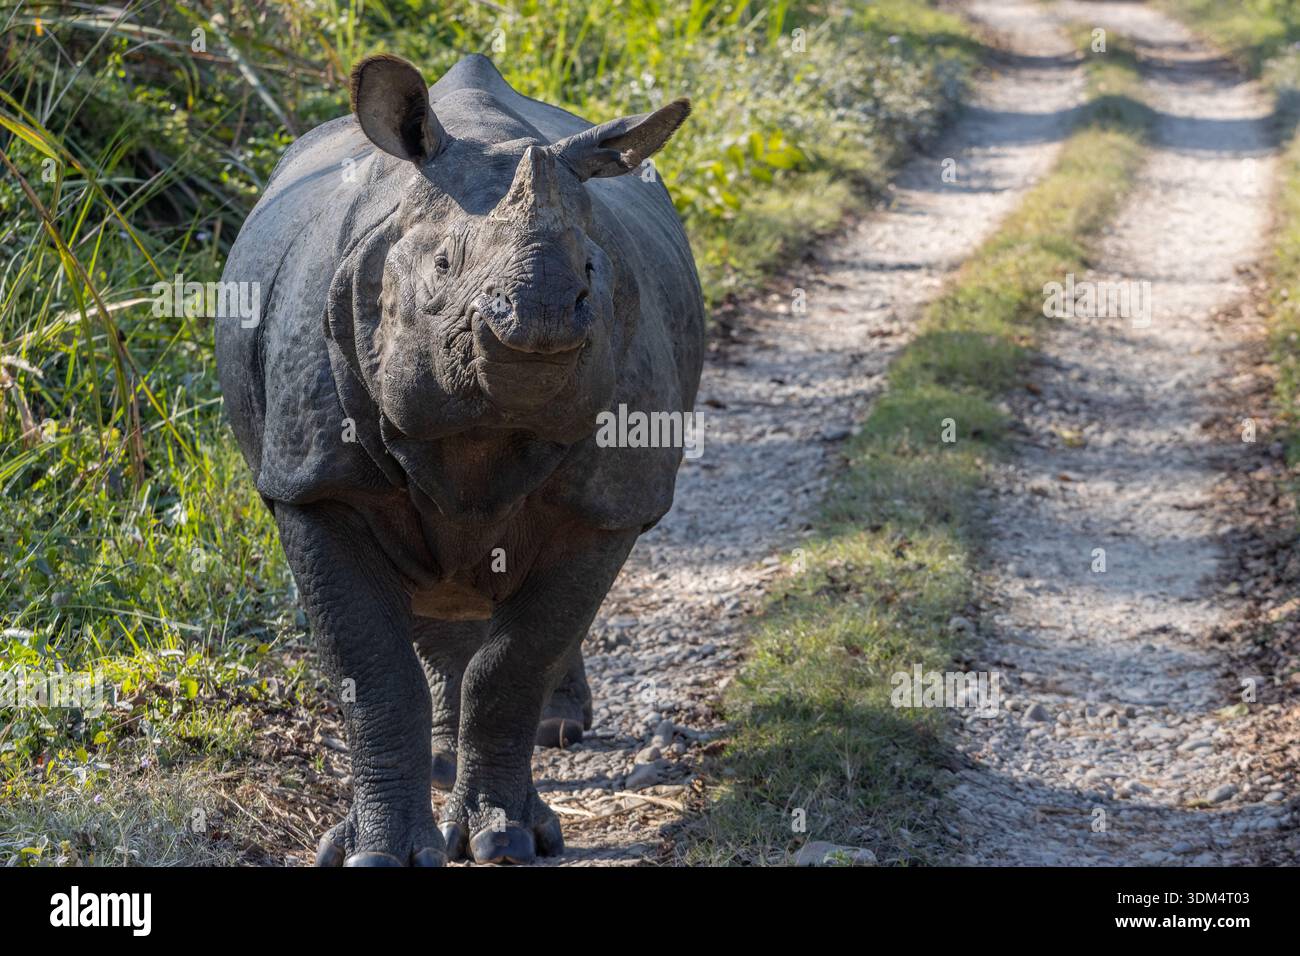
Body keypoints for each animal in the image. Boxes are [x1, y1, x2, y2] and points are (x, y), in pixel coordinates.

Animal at [215, 52, 703, 865]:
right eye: (442, 265)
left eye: (593, 270)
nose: (538, 318)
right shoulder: (313, 483)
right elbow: (373, 669)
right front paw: (376, 852)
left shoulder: (612, 503)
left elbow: (517, 663)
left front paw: (505, 840)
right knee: (440, 587)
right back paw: (446, 760)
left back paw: (556, 732)